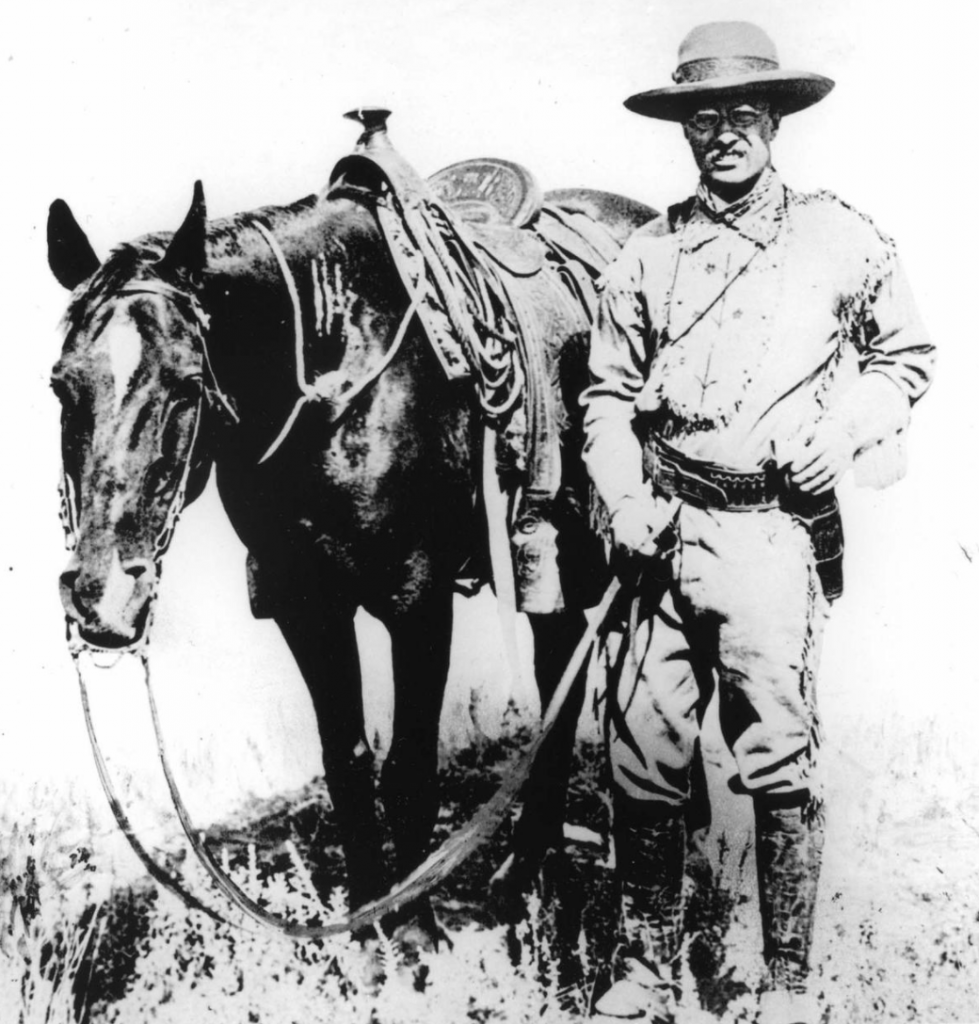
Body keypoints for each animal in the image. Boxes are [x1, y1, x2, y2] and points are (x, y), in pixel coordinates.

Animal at [48, 134, 655, 942]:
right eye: (62, 385)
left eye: (186, 383)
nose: (103, 600)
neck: (336, 375)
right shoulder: (305, 604)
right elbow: (347, 762)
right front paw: (368, 928)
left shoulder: (418, 600)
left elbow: (409, 768)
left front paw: (417, 930)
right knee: (563, 672)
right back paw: (531, 868)